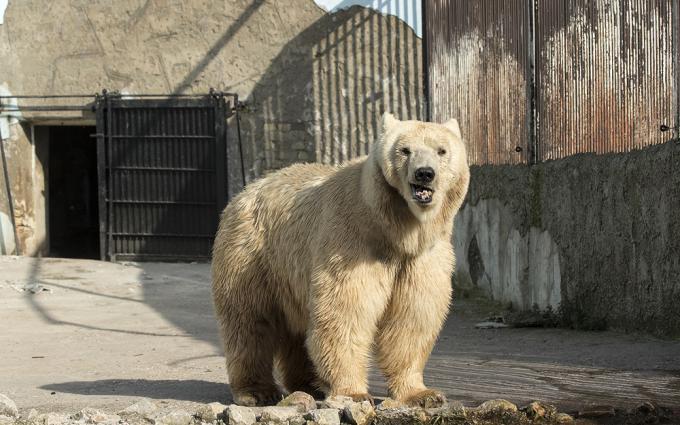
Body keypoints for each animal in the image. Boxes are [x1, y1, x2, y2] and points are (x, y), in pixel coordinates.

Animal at [211, 112, 468, 408]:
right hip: (252, 254)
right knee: (250, 320)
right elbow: (345, 311)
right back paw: (256, 391)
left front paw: (423, 394)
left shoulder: (422, 258)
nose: (424, 173)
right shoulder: (352, 242)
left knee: (296, 328)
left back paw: (309, 384)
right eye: (405, 150)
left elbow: (411, 319)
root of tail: (245, 190)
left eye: (442, 150)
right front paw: (353, 393)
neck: (395, 230)